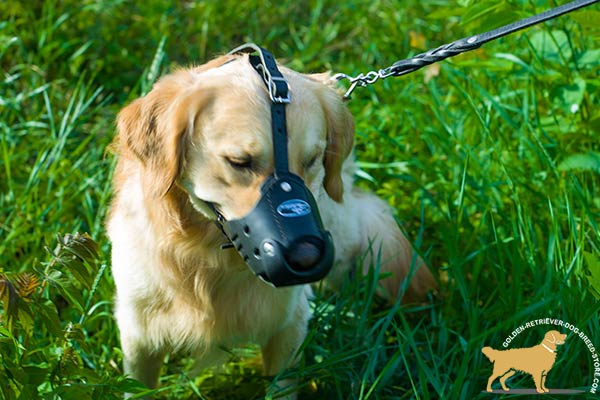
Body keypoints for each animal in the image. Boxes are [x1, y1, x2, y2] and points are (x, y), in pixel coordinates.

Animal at [106, 50, 436, 396]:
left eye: (311, 160)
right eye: (240, 162)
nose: (306, 256)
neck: (208, 261)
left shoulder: (288, 324)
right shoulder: (137, 334)